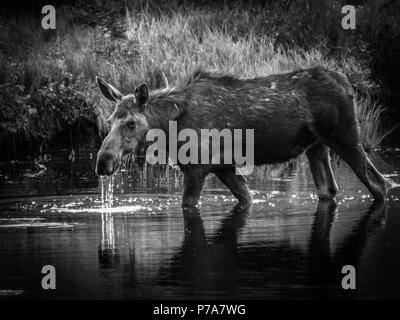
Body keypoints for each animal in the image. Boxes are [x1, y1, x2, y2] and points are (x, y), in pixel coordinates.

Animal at [95, 67, 386, 212]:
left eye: (131, 123)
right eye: (109, 121)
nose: (103, 162)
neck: (170, 127)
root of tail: (348, 85)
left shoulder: (197, 168)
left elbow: (188, 203)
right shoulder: (224, 167)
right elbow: (247, 198)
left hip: (347, 136)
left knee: (378, 181)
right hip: (316, 147)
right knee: (329, 189)